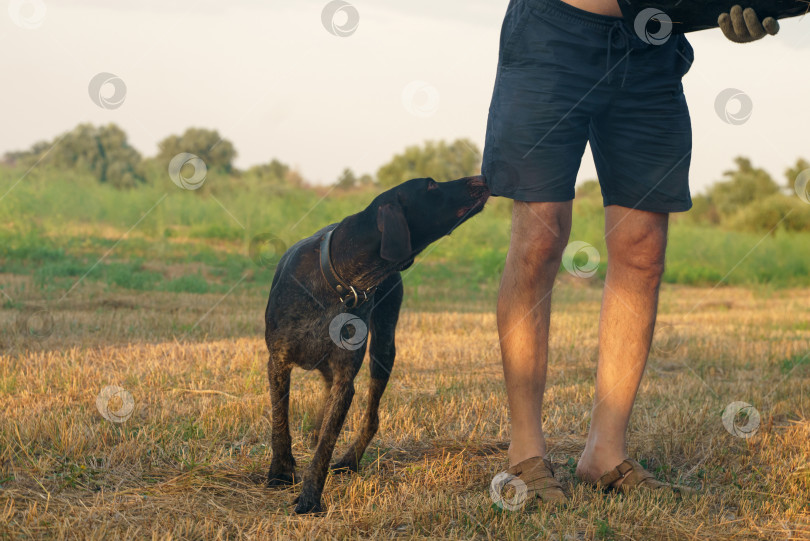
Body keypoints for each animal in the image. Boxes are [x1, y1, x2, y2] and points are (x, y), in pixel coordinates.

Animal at [266, 175, 490, 512]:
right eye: (431, 186)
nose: (481, 177)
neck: (339, 279)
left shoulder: (346, 379)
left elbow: (326, 446)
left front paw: (310, 497)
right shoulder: (278, 362)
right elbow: (280, 422)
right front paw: (280, 472)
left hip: (383, 348)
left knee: (371, 418)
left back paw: (349, 461)